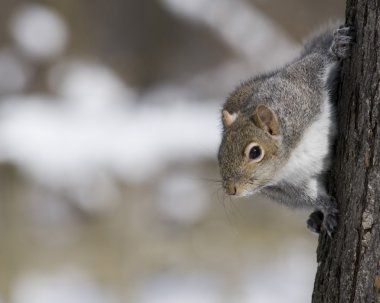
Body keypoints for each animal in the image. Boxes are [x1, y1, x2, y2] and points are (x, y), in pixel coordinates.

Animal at [218, 25, 354, 236]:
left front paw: (336, 48)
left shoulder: (297, 92)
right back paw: (314, 220)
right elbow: (307, 196)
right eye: (220, 154)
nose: (231, 190)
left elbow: (317, 63)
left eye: (255, 152)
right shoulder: (286, 186)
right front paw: (327, 209)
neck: (289, 155)